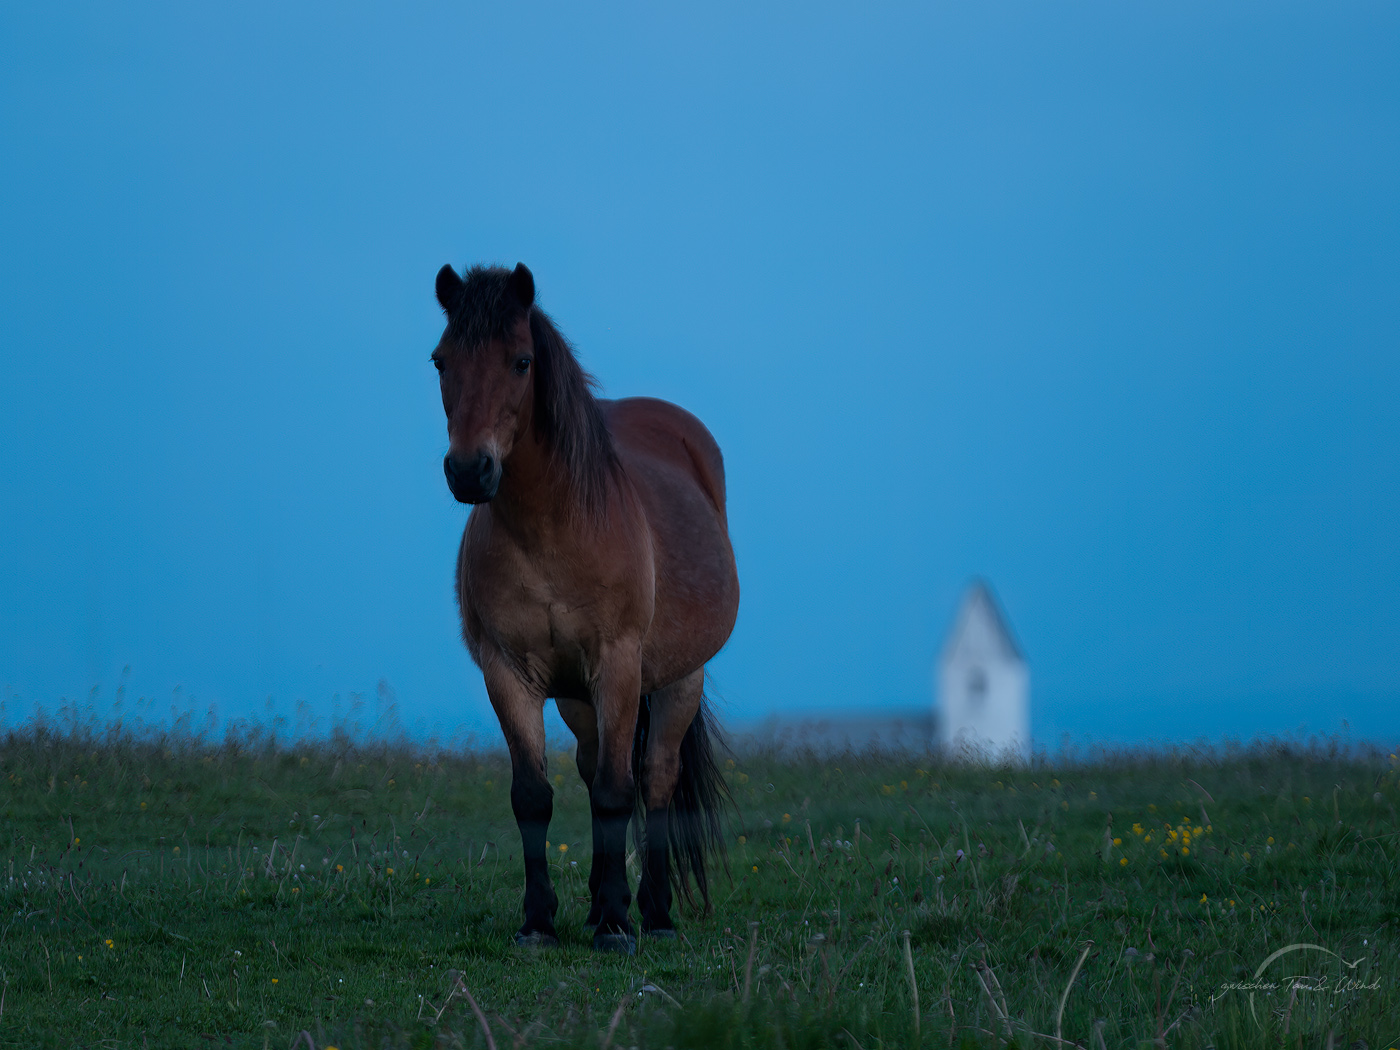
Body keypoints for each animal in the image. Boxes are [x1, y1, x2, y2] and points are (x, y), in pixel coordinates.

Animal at [431, 262, 740, 954]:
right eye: (440, 361)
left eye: (521, 361)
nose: (469, 471)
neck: (551, 531)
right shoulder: (509, 672)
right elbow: (533, 796)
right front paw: (539, 922)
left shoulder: (618, 664)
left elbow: (616, 793)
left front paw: (621, 925)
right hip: (578, 697)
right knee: (596, 764)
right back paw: (601, 905)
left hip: (679, 678)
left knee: (652, 778)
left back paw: (652, 913)